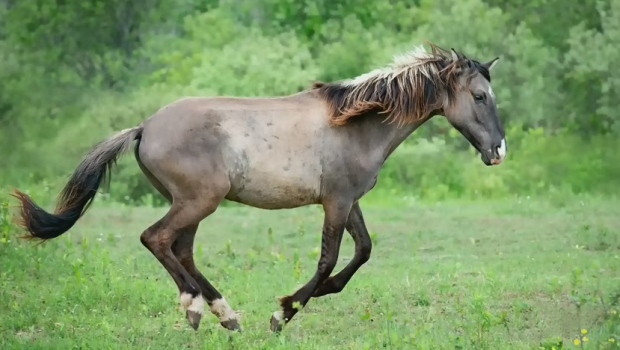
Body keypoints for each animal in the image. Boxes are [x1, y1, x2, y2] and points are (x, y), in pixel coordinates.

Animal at [12, 43, 506, 334]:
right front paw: (283, 312)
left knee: (179, 249)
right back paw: (197, 307)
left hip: (190, 203)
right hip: (198, 201)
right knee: (156, 239)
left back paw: (222, 314)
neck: (356, 124)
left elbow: (363, 250)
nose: (498, 150)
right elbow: (329, 258)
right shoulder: (336, 202)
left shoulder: (349, 201)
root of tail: (144, 127)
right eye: (480, 97)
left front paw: (308, 299)